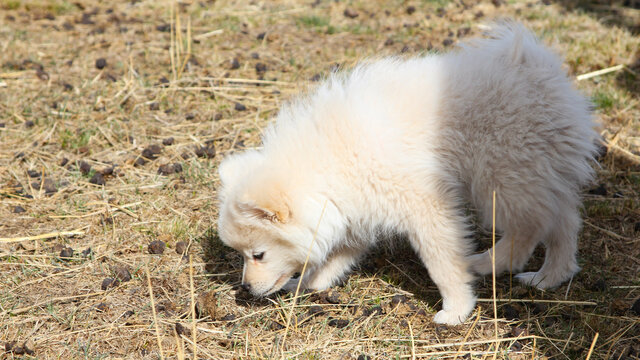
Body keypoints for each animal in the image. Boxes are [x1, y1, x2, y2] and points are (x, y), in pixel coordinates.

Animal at [218, 23, 596, 326]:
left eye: (258, 254)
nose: (245, 288)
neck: (327, 164)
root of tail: (536, 67)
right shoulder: (355, 208)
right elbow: (334, 259)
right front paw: (306, 284)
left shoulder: (425, 205)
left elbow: (443, 264)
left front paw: (456, 310)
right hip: (537, 171)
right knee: (563, 222)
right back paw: (549, 277)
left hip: (501, 176)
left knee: (531, 227)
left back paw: (487, 264)